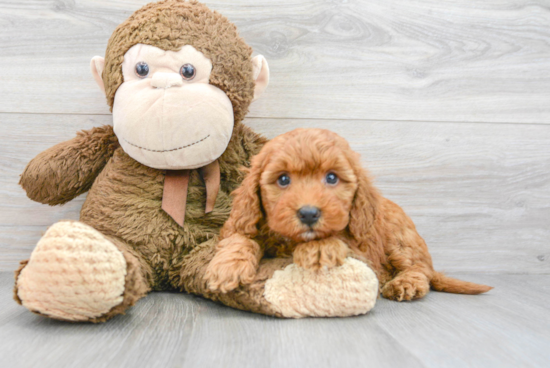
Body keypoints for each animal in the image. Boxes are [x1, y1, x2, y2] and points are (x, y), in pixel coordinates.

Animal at [205, 128, 494, 300]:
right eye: (283, 179)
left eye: (332, 178)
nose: (309, 214)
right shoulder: (243, 222)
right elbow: (240, 238)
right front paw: (227, 267)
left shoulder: (364, 250)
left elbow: (339, 240)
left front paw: (319, 249)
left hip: (400, 240)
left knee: (419, 269)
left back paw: (405, 284)